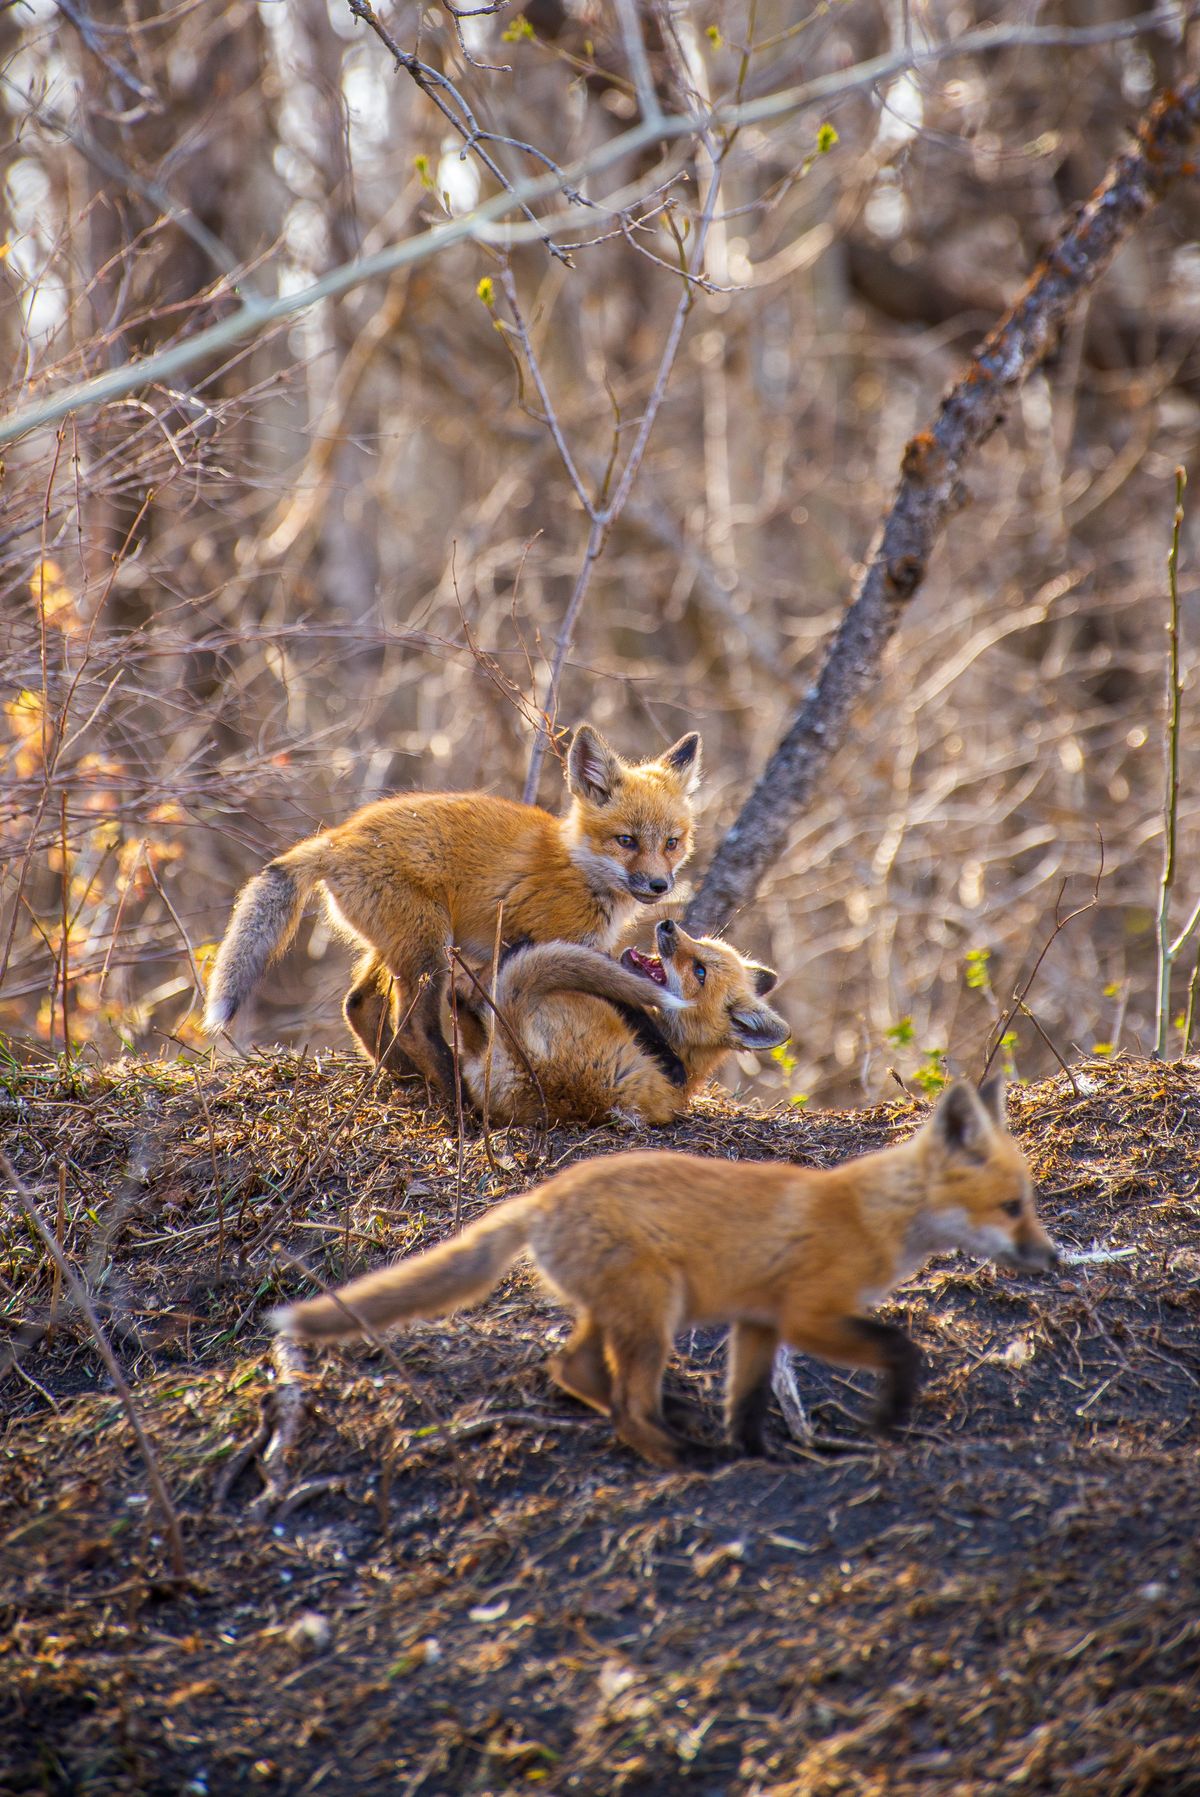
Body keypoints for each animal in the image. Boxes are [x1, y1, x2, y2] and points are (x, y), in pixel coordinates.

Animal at [203, 723, 701, 1096]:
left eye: (671, 843)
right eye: (626, 841)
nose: (659, 886)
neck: (579, 869)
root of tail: (338, 838)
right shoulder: (556, 940)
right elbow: (626, 1000)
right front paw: (669, 1061)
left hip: (395, 945)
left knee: (359, 1003)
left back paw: (403, 1074)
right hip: (428, 947)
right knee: (414, 1025)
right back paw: (455, 1095)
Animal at [272, 1076, 1058, 1470]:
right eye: (1012, 1206)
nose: (1051, 1257)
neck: (870, 1215)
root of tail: (542, 1194)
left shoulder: (758, 1320)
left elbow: (748, 1402)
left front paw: (759, 1455)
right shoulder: (808, 1312)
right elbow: (900, 1346)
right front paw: (888, 1418)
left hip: (624, 1309)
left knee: (572, 1368)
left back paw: (675, 1426)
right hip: (657, 1311)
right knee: (624, 1405)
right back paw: (678, 1456)